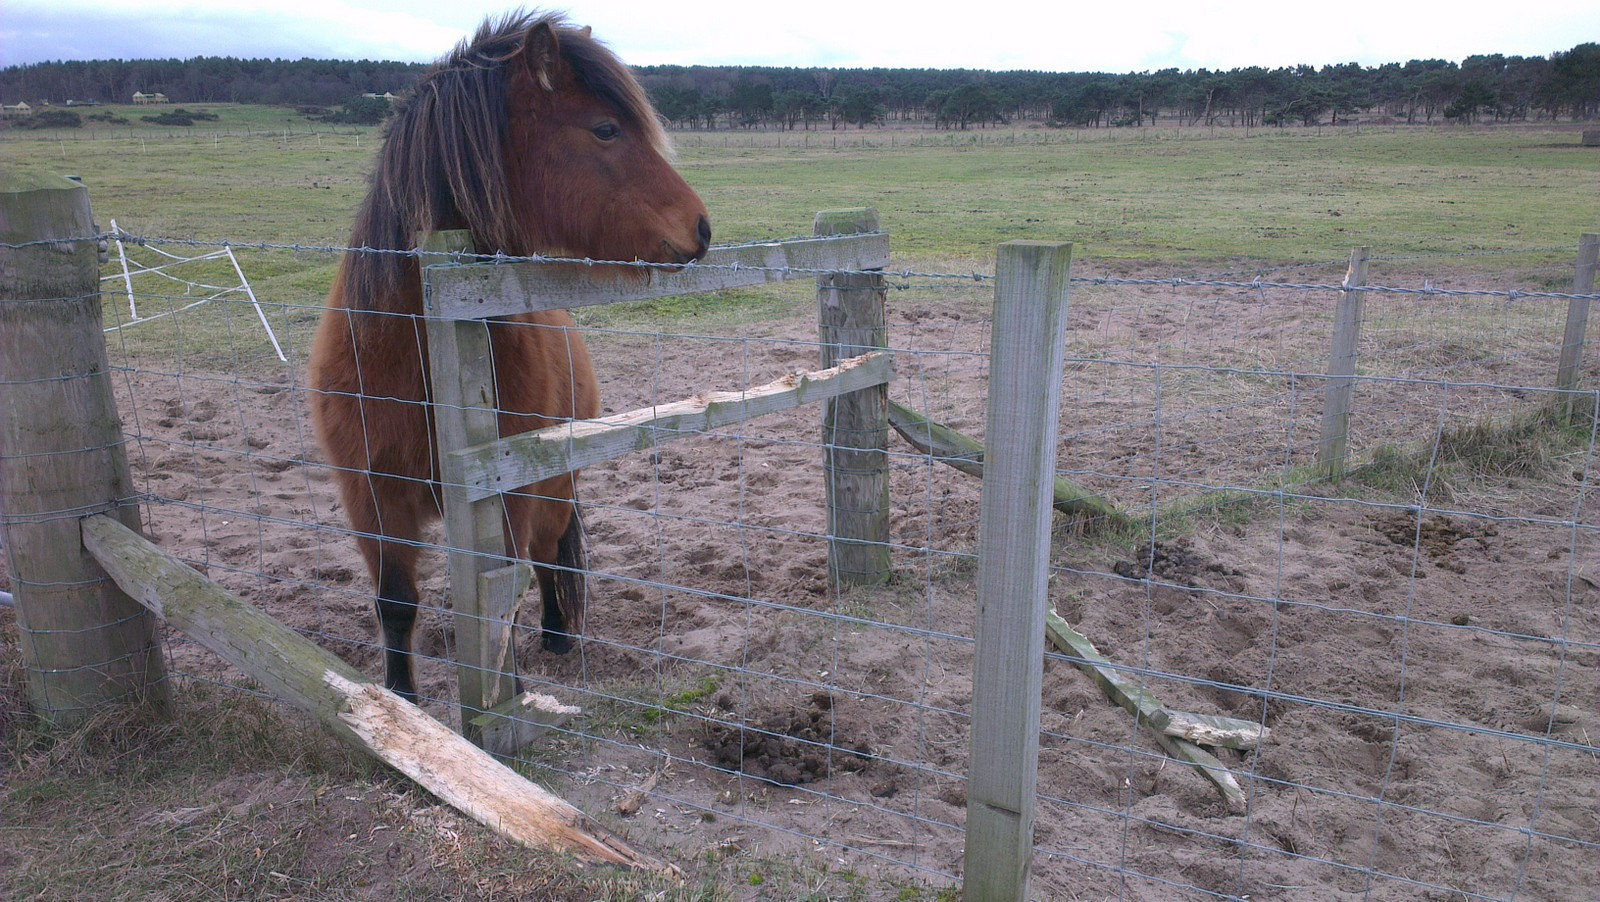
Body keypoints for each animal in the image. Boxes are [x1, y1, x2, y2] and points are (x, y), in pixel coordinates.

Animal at [308, 12, 710, 703]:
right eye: (605, 129)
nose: (702, 228)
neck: (414, 342)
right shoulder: (371, 498)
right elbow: (396, 603)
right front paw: (401, 697)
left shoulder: (509, 492)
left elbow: (505, 596)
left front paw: (509, 690)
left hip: (551, 490)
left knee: (546, 562)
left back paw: (556, 636)